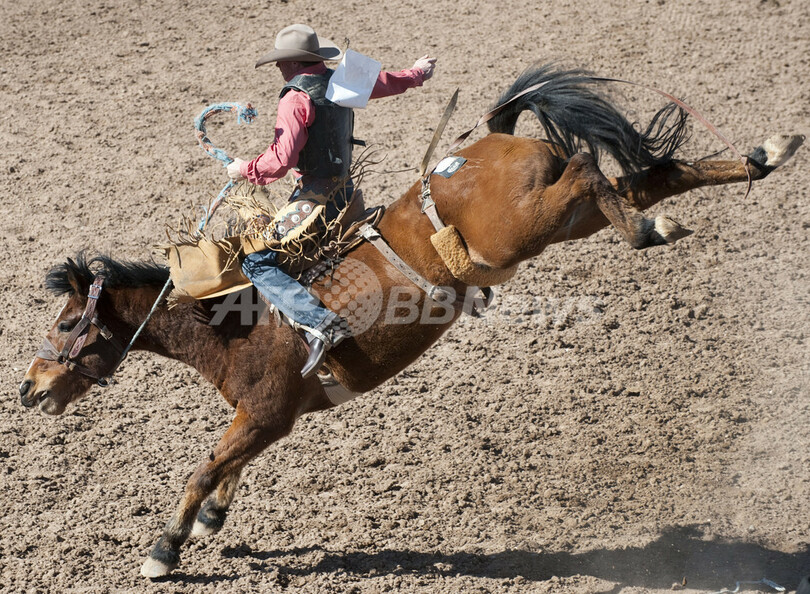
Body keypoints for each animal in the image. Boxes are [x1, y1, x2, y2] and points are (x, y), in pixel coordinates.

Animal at [19, 66, 800, 580]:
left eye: (67, 322)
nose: (28, 389)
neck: (233, 314)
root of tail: (489, 140)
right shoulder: (271, 417)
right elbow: (229, 465)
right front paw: (212, 518)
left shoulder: (266, 409)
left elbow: (204, 466)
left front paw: (164, 549)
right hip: (559, 222)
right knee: (647, 175)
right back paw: (761, 156)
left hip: (527, 225)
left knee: (589, 165)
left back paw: (650, 230)